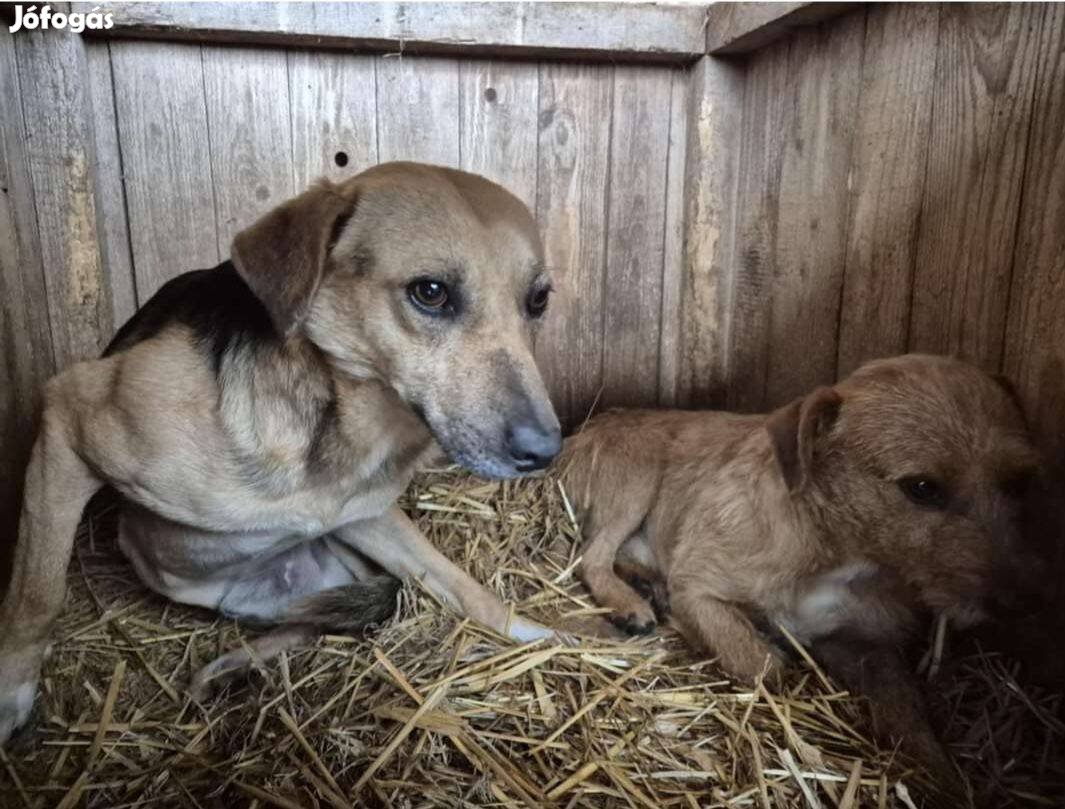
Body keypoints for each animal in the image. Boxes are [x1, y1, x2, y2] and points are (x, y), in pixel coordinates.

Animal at [0, 160, 562, 740]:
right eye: (431, 292)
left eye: (538, 300)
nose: (545, 451)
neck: (336, 429)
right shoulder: (66, 416)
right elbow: (37, 595)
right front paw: (11, 692)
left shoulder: (365, 515)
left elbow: (459, 583)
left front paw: (538, 636)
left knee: (326, 617)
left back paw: (230, 668)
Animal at [566, 353, 1039, 783]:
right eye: (921, 488)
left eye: (1019, 482)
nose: (1021, 600)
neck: (837, 553)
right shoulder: (698, 588)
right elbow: (760, 664)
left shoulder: (862, 643)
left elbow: (907, 710)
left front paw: (939, 774)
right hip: (637, 482)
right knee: (593, 555)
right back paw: (629, 603)